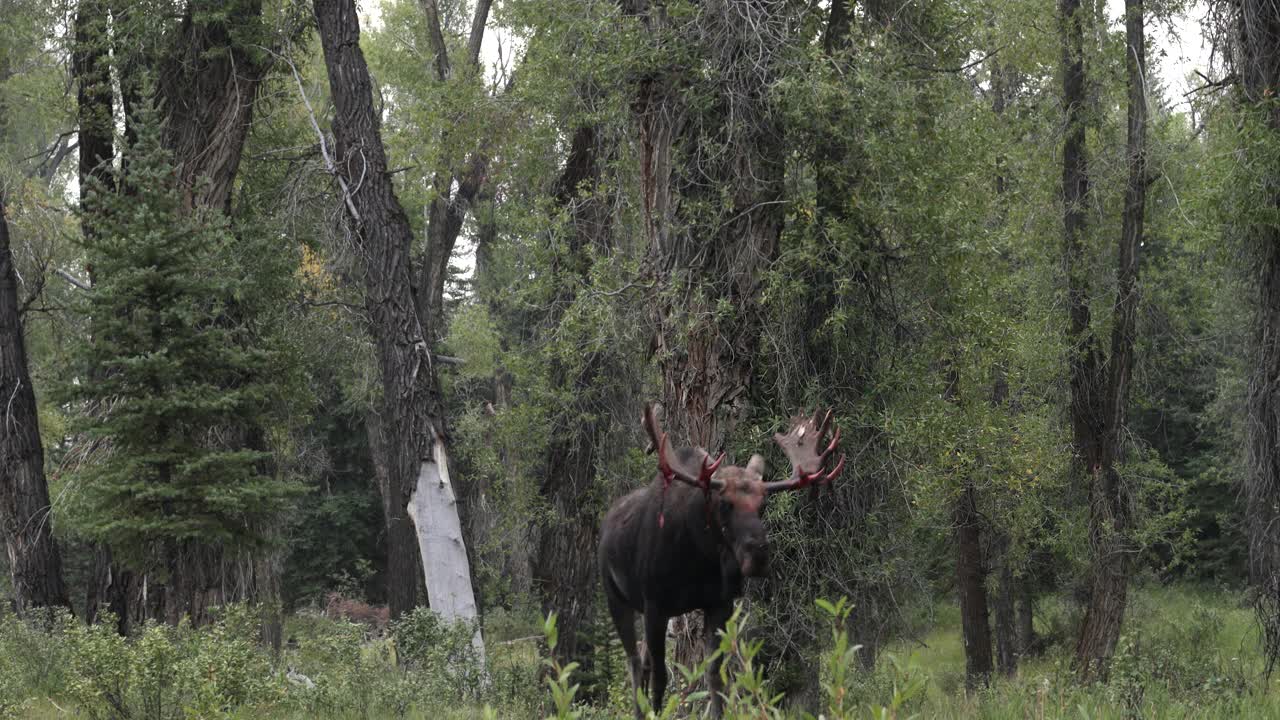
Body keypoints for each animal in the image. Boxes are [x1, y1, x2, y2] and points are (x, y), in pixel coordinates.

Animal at [596, 399, 844, 712]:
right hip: (616, 598)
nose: (758, 554)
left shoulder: (719, 603)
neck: (698, 556)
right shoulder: (655, 605)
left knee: (642, 661)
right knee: (635, 664)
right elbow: (661, 680)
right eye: (724, 503)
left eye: (763, 504)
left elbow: (716, 676)